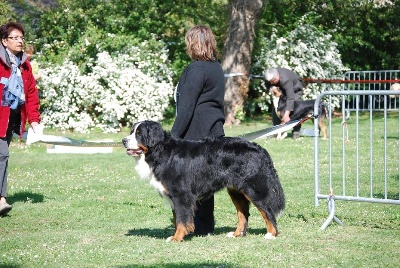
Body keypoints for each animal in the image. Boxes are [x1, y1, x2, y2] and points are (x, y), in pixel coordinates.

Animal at [122, 120, 284, 242]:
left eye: (139, 134)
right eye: (131, 131)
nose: (123, 141)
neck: (161, 152)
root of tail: (259, 149)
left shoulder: (181, 195)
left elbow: (181, 219)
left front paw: (177, 238)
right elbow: (176, 218)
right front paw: (178, 235)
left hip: (254, 189)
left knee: (267, 211)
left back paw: (271, 234)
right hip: (236, 190)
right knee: (243, 213)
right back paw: (237, 233)